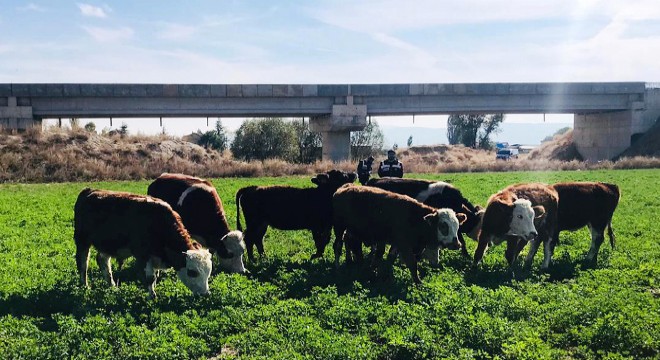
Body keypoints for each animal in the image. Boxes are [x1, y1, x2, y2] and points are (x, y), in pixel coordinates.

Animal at [76, 187, 213, 296]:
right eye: (192, 272)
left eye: (208, 272)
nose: (205, 294)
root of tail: (89, 190)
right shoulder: (143, 255)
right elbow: (150, 278)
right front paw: (152, 296)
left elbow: (155, 276)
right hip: (82, 241)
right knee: (83, 263)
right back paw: (85, 286)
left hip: (108, 245)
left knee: (102, 260)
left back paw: (112, 286)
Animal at [330, 186, 464, 284]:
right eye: (443, 226)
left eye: (457, 226)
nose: (457, 244)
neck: (414, 218)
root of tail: (342, 189)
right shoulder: (404, 244)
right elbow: (412, 263)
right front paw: (418, 282)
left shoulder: (396, 244)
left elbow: (389, 258)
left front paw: (382, 274)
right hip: (339, 228)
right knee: (338, 245)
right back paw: (337, 268)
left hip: (351, 231)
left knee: (350, 243)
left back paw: (351, 261)